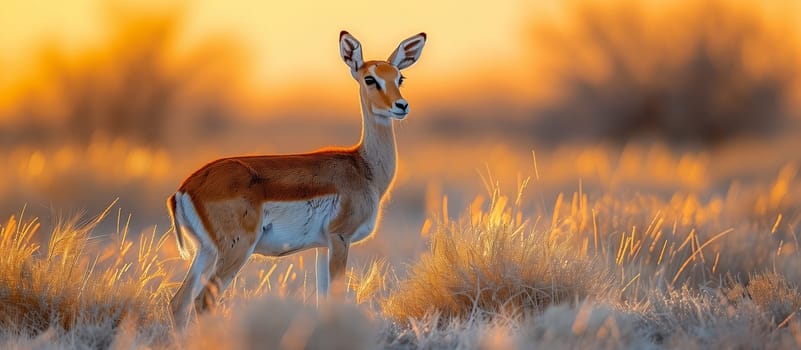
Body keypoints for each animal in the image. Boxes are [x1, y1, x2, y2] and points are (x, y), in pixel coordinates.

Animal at [167, 30, 424, 328]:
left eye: (399, 77)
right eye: (370, 78)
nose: (401, 106)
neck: (364, 167)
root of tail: (185, 189)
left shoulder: (322, 246)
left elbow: (324, 302)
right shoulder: (341, 238)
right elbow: (336, 301)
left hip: (206, 251)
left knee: (179, 303)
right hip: (236, 250)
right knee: (203, 301)